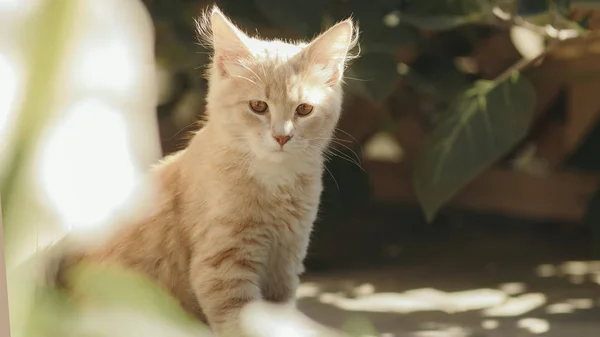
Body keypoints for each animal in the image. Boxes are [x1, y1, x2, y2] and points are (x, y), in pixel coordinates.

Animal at [50, 5, 356, 336]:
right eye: (259, 106)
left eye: (304, 110)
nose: (282, 137)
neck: (274, 184)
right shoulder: (221, 267)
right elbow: (241, 323)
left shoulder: (286, 262)